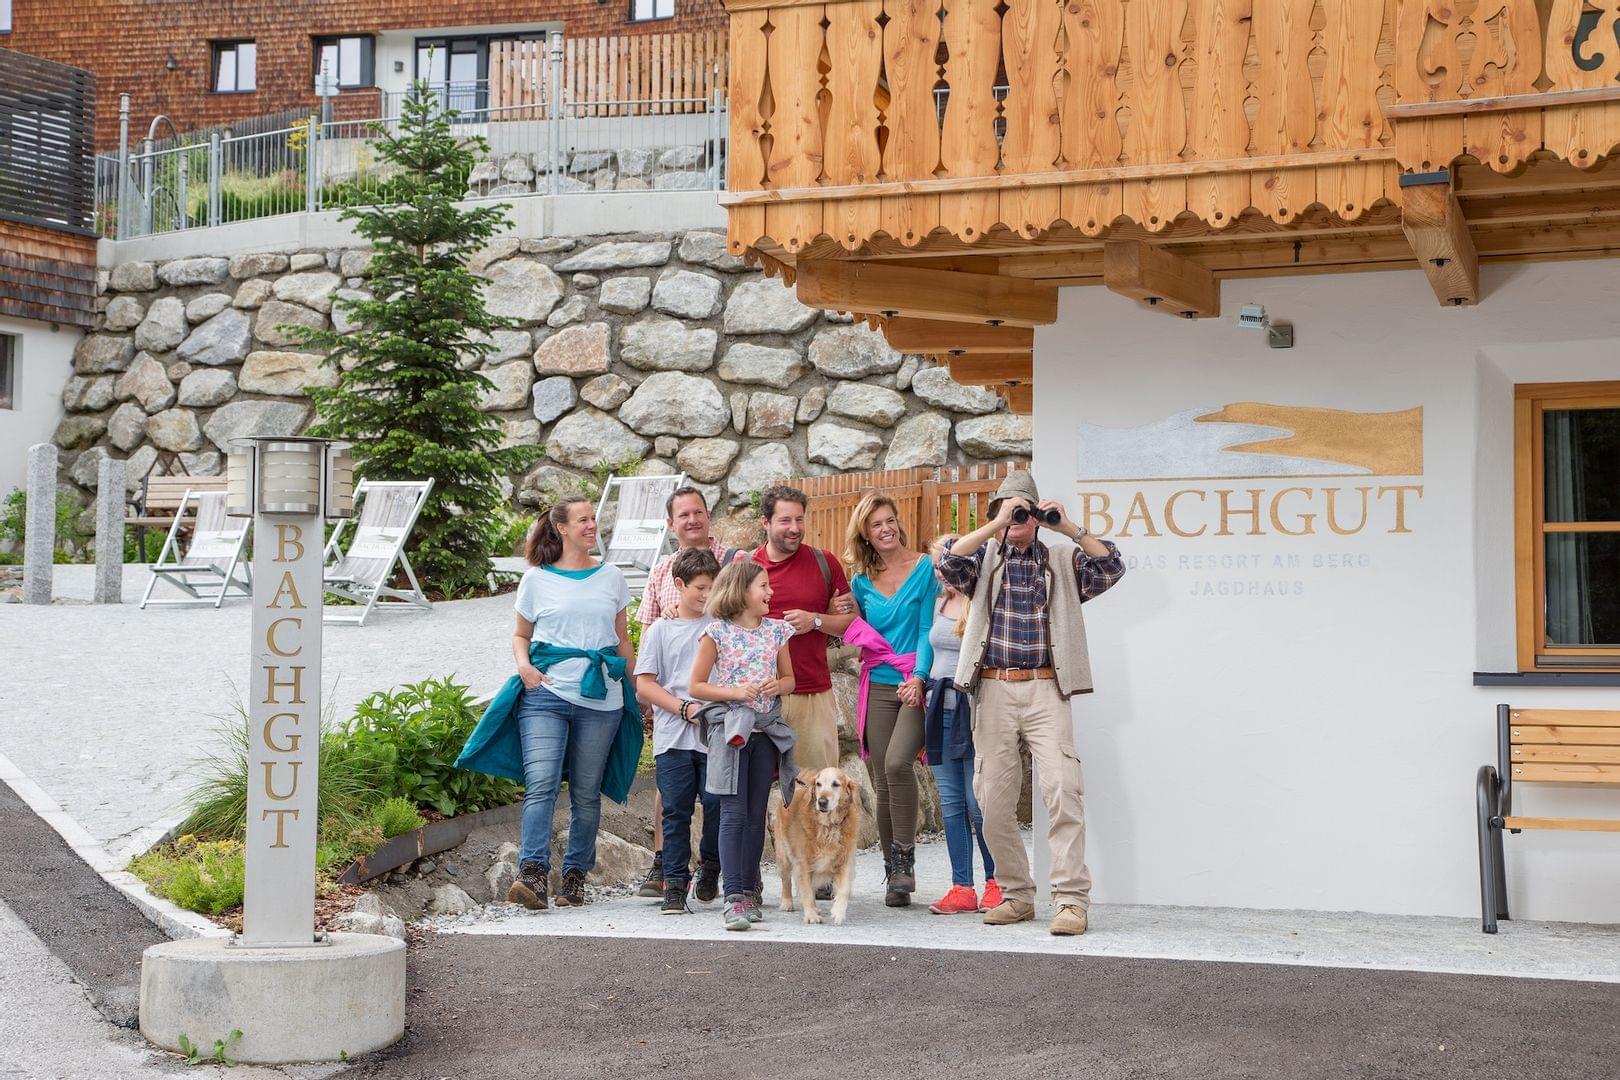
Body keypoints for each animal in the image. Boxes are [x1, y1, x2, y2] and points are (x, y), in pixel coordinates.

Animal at [774, 766, 862, 925]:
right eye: (819, 784)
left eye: (836, 784)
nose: (821, 802)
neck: (828, 826)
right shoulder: (803, 864)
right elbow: (807, 892)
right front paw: (811, 916)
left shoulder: (844, 862)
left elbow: (844, 889)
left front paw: (838, 912)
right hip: (783, 856)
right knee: (786, 880)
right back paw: (787, 902)